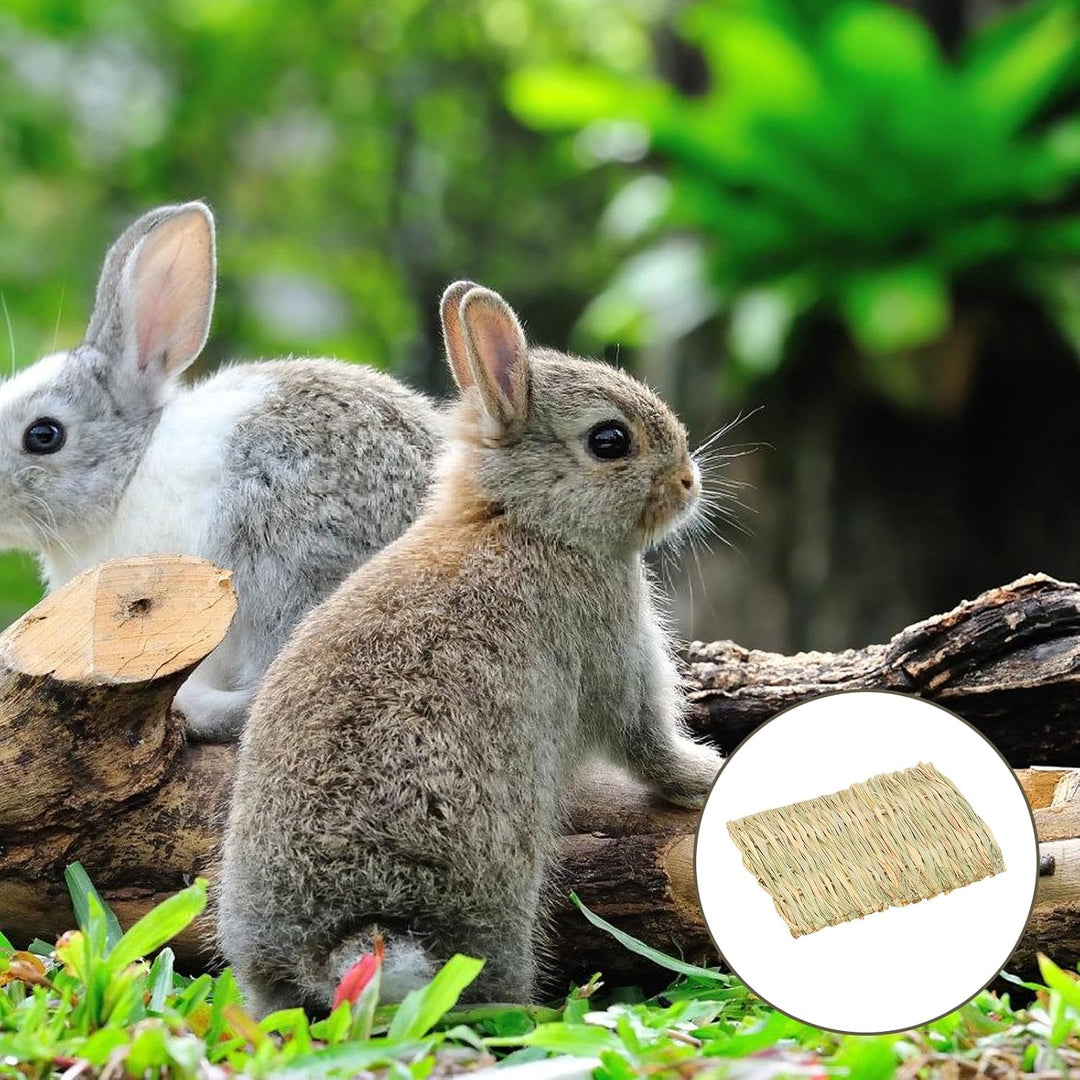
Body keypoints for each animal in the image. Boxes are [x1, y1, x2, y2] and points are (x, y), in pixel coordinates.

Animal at [217, 280, 724, 1018]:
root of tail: (342, 941)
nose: (688, 482)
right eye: (610, 441)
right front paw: (706, 774)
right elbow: (647, 742)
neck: (524, 521)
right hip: (497, 895)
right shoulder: (615, 652)